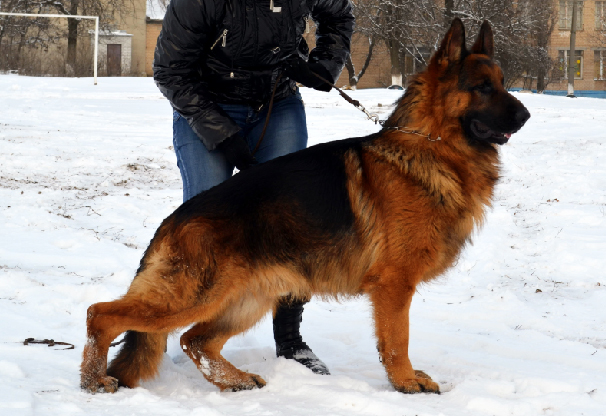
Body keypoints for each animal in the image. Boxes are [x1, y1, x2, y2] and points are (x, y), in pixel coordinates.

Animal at [82, 19, 532, 394]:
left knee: (195, 340)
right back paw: (93, 380)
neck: (430, 147)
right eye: (483, 87)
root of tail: (172, 221)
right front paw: (404, 383)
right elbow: (396, 341)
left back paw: (234, 380)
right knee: (100, 314)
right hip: (192, 297)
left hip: (248, 299)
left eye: (503, 83)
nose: (526, 114)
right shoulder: (394, 285)